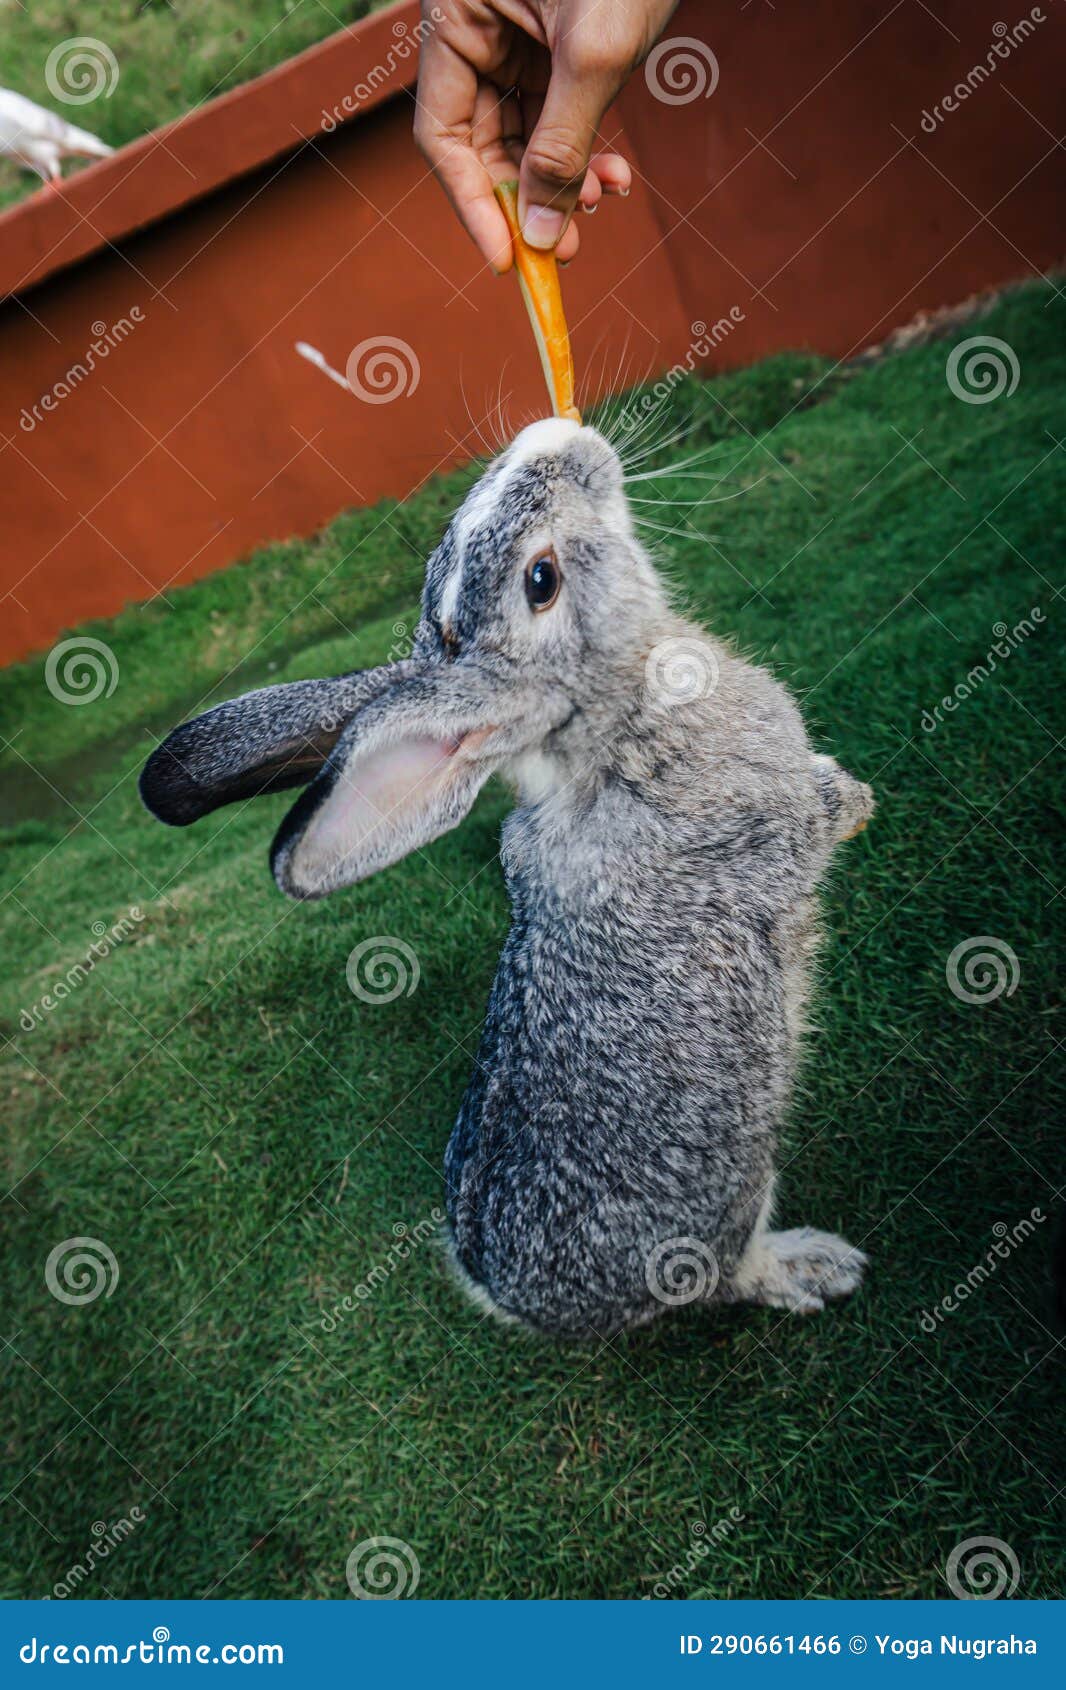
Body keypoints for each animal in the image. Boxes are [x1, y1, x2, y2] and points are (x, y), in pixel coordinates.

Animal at [140, 416, 874, 1340]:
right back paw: (816, 1266)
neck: (611, 723)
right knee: (731, 1273)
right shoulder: (772, 831)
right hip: (732, 1197)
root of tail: (509, 1296)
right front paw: (855, 800)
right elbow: (813, 828)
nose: (554, 441)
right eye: (542, 579)